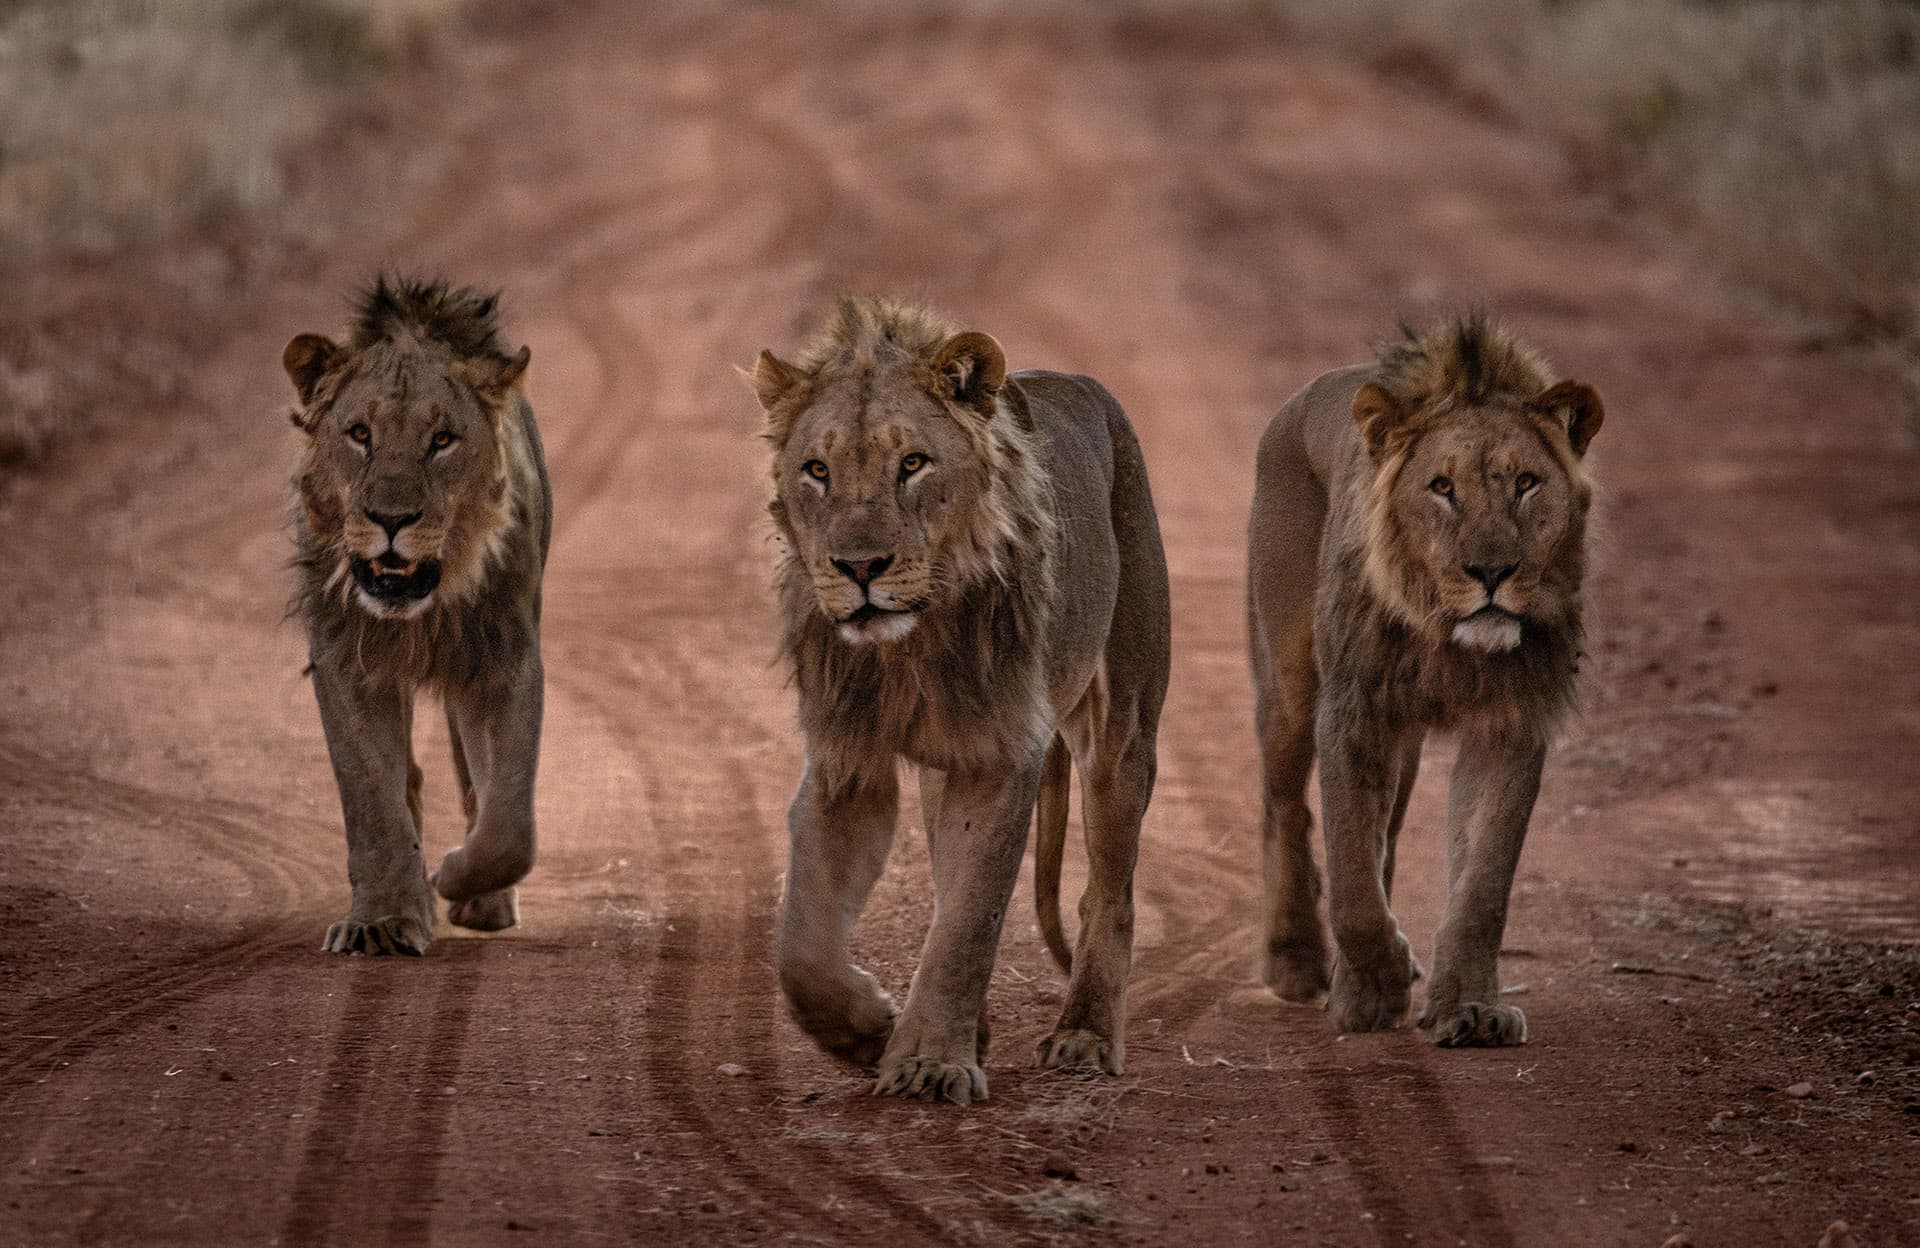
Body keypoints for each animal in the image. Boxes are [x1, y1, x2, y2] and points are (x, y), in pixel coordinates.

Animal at [282, 275, 552, 956]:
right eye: (359, 434)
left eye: (442, 441)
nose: (391, 519)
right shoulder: (346, 661)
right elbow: (374, 799)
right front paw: (381, 922)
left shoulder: (504, 659)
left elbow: (510, 822)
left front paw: (454, 876)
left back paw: (479, 900)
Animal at [750, 296, 1171, 1104]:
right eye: (817, 470)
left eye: (912, 463)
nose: (858, 568)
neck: (907, 648)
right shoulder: (848, 760)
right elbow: (801, 944)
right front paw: (867, 1030)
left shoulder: (1002, 753)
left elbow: (972, 917)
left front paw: (929, 1062)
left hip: (1123, 726)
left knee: (1109, 892)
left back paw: (1085, 1034)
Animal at [1248, 313, 1602, 1045]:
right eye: (1442, 488)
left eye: (1526, 483)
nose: (1491, 572)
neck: (1449, 639)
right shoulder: (1352, 712)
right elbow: (1352, 878)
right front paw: (1373, 989)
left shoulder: (1510, 724)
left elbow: (1481, 886)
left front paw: (1469, 1008)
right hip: (1290, 683)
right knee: (1285, 806)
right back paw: (1295, 960)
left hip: (1402, 739)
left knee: (1382, 832)